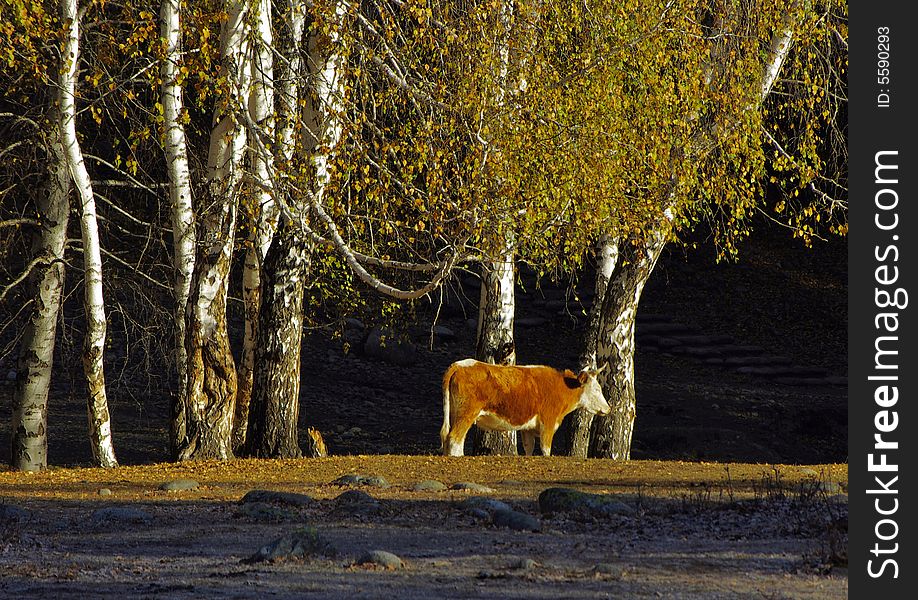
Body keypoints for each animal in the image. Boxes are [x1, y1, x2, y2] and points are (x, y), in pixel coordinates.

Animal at [440, 358, 612, 458]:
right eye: (597, 389)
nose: (608, 408)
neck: (561, 387)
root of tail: (459, 365)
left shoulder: (528, 429)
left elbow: (529, 449)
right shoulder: (548, 423)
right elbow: (545, 449)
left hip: (454, 414)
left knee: (450, 438)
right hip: (466, 414)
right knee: (455, 438)